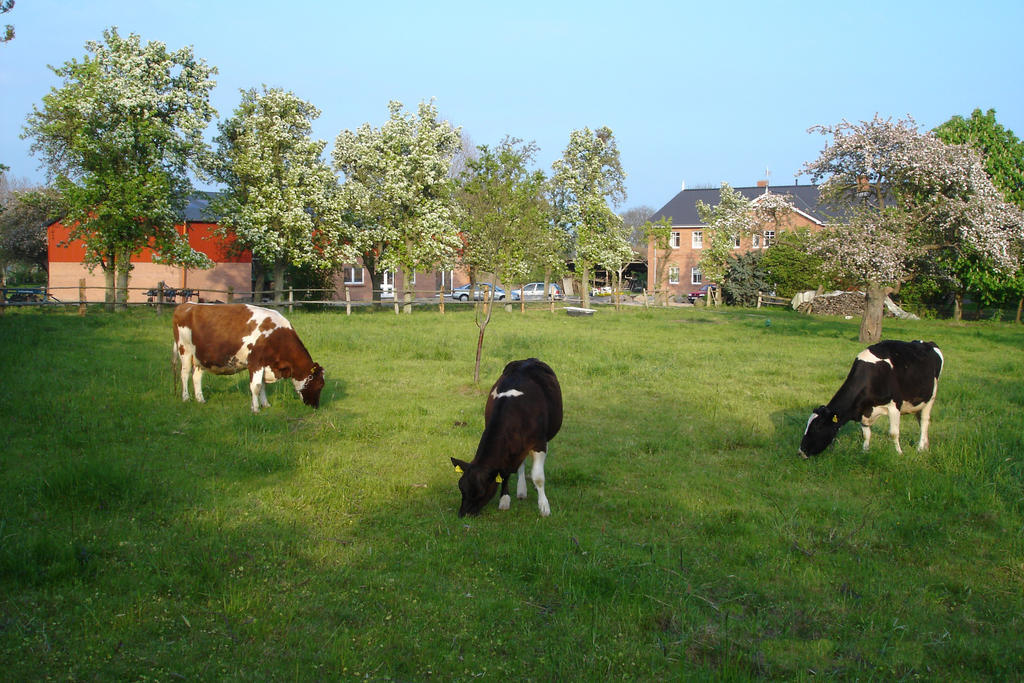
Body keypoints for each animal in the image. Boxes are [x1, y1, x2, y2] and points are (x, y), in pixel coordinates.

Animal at [172, 303, 323, 411]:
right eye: (320, 384)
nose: (315, 407)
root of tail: (186, 305)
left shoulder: (265, 365)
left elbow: (262, 386)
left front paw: (266, 404)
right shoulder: (255, 363)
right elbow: (256, 386)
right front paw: (255, 408)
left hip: (200, 357)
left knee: (196, 377)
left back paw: (200, 399)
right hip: (185, 350)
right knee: (185, 374)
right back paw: (186, 398)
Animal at [452, 360, 565, 516]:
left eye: (481, 492)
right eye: (461, 488)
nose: (463, 514)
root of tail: (529, 360)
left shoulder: (539, 444)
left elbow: (538, 477)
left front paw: (544, 507)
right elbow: (505, 473)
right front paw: (504, 499)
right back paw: (522, 490)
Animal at [798, 342, 942, 458]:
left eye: (818, 427)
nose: (800, 452)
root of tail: (928, 343)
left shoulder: (894, 405)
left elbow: (894, 433)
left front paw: (899, 453)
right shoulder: (862, 410)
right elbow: (866, 434)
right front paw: (865, 451)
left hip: (931, 397)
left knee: (924, 421)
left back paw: (920, 448)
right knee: (920, 420)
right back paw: (925, 445)